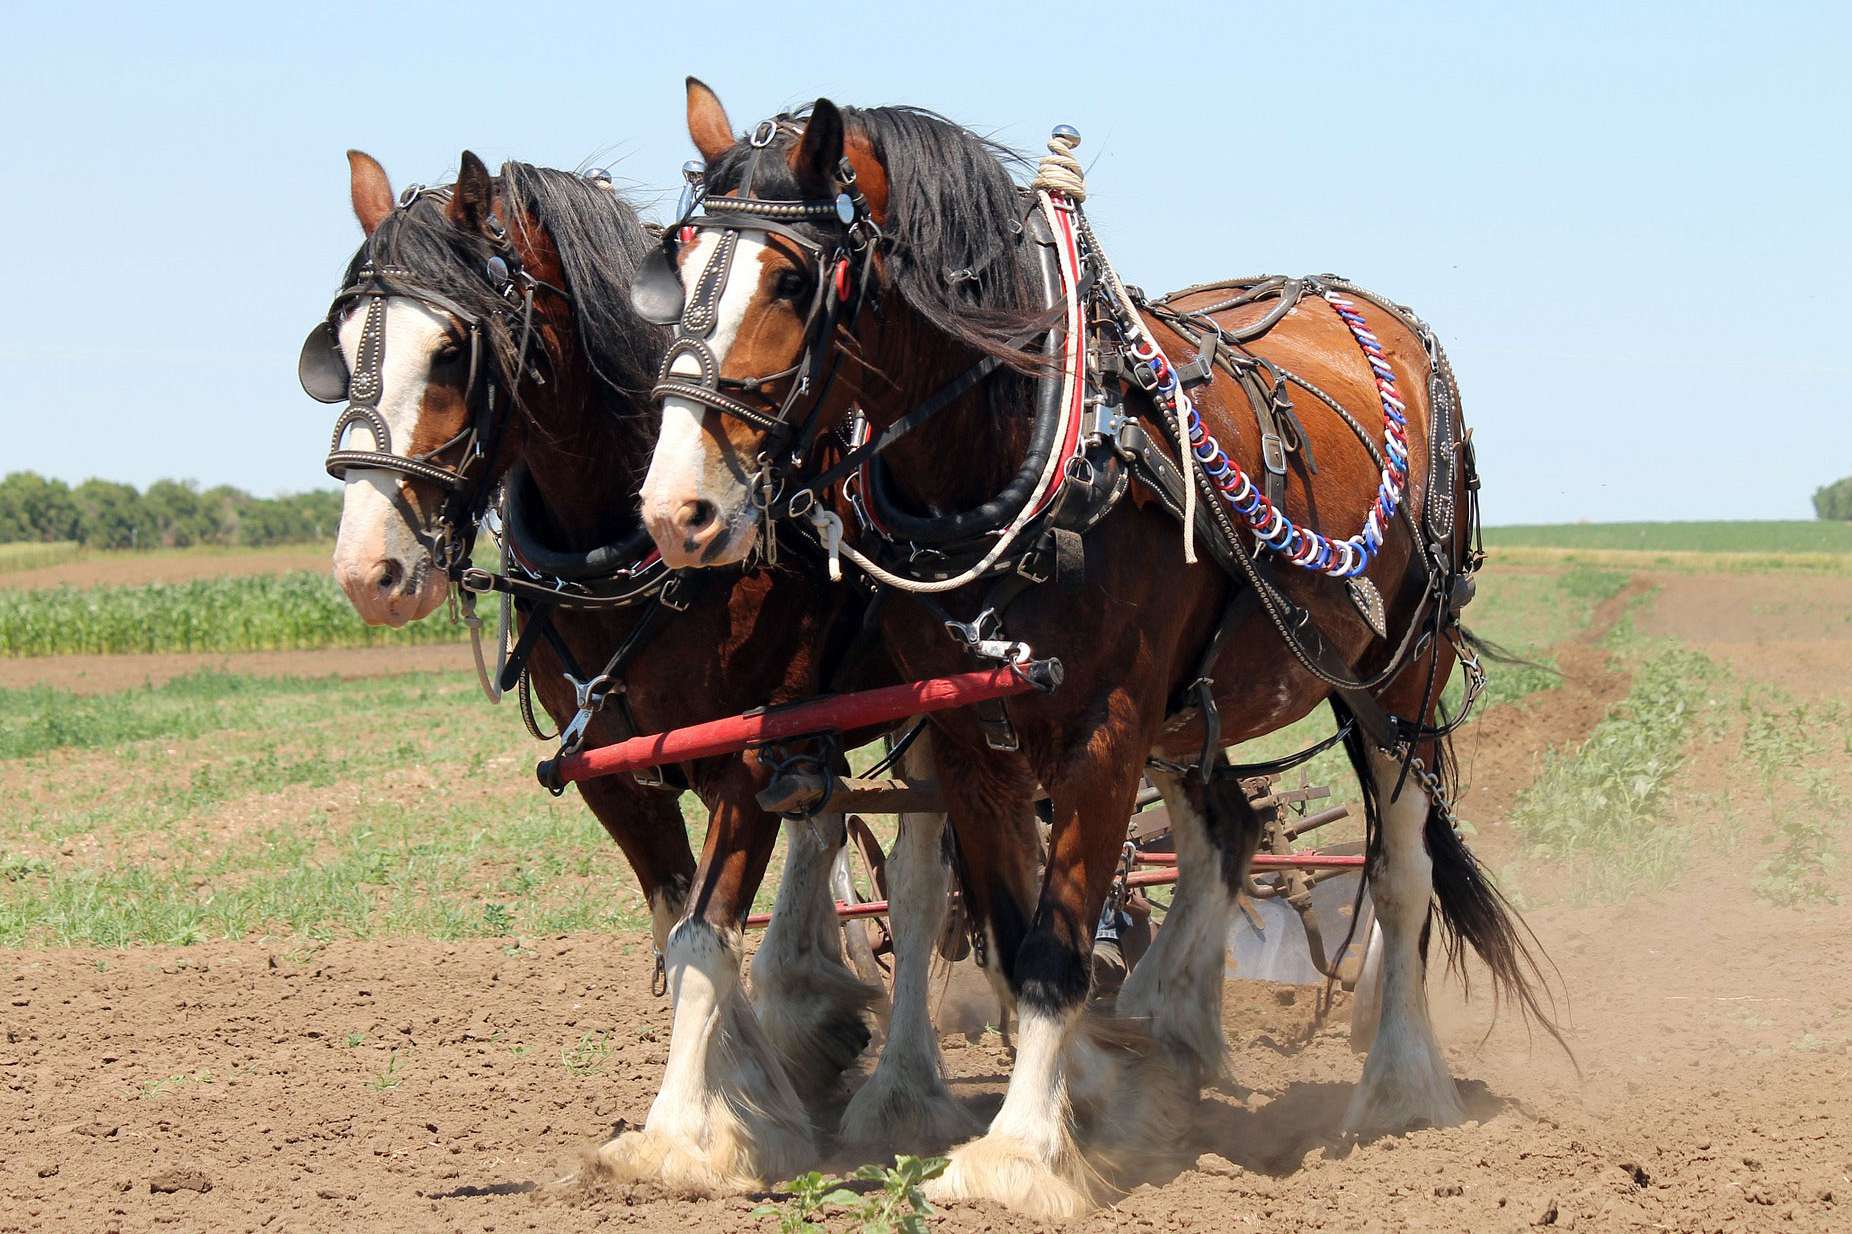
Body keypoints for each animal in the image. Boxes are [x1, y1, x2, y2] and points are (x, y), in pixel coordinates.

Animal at [303, 149, 970, 1185]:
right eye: (336, 346)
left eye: (453, 351)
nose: (368, 572)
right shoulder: (611, 771)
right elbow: (676, 925)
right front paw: (752, 1083)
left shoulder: (744, 754)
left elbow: (703, 933)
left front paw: (686, 1134)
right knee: (824, 833)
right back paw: (809, 1012)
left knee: (915, 882)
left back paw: (900, 1092)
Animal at [637, 81, 1563, 1215]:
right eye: (677, 266)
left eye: (794, 279)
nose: (675, 510)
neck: (1029, 450)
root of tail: (1373, 311)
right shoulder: (970, 734)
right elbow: (1008, 931)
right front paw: (1094, 1101)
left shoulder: (1106, 727)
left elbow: (1056, 943)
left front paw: (1020, 1154)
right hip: (1200, 703)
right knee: (1224, 834)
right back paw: (1171, 1032)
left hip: (1397, 680)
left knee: (1398, 870)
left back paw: (1398, 1084)